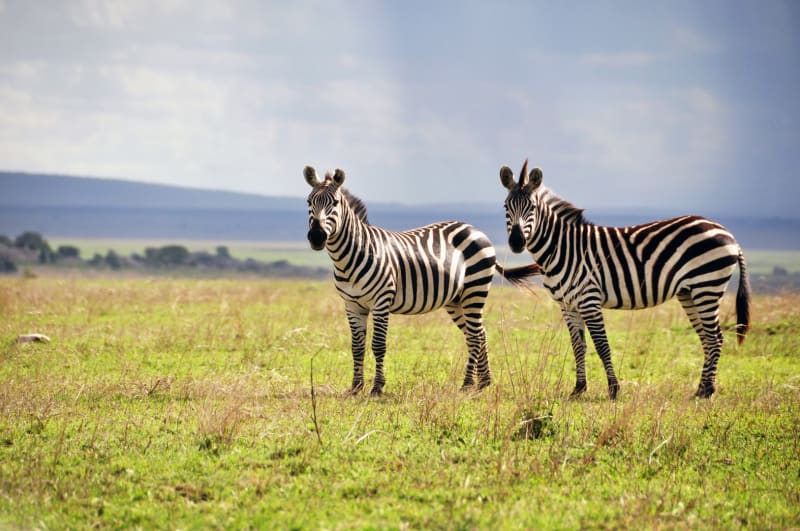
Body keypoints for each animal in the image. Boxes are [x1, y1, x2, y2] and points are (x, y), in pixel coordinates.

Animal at [304, 165, 540, 396]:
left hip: (475, 289)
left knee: (474, 335)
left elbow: (378, 345)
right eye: (309, 202)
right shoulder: (352, 305)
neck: (351, 256)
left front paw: (377, 387)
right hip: (456, 300)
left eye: (335, 203)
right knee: (479, 333)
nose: (316, 237)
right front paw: (355, 387)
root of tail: (475, 229)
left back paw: (467, 385)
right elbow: (357, 347)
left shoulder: (381, 301)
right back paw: (483, 382)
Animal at [499, 160, 750, 399]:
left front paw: (613, 389)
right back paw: (701, 389)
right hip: (690, 292)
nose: (517, 242)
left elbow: (602, 345)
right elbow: (578, 346)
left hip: (707, 287)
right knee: (707, 338)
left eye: (532, 207)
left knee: (715, 338)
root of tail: (728, 234)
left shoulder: (589, 300)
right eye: (506, 207)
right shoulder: (568, 305)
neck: (562, 248)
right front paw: (579, 389)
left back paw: (708, 391)